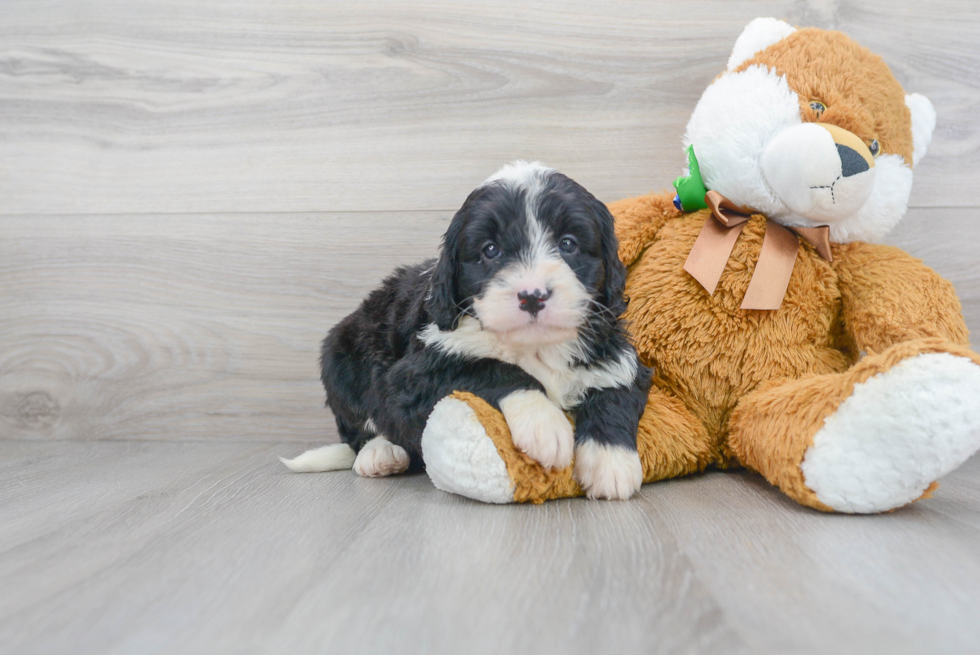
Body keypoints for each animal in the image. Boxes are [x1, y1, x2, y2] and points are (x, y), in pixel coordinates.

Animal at [282, 161, 652, 500]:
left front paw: (611, 461)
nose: (532, 296)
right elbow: (490, 367)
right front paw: (544, 424)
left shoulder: (616, 353)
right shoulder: (415, 375)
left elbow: (615, 389)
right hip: (339, 356)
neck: (534, 346)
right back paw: (380, 453)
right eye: (490, 250)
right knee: (359, 430)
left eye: (568, 244)